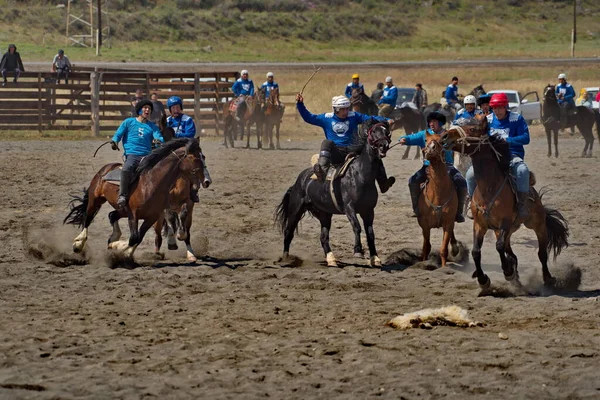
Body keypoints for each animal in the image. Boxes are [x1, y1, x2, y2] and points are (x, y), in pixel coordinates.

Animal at [63, 139, 206, 260]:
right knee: (87, 218)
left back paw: (114, 237)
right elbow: (133, 237)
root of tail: (106, 169)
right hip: (96, 200)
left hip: (122, 210)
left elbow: (138, 238)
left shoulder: (152, 217)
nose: (205, 180)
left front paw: (121, 249)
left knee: (112, 215)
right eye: (195, 157)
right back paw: (78, 244)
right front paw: (117, 247)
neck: (151, 183)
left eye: (203, 157)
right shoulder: (133, 214)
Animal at [274, 120, 392, 268]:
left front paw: (375, 258)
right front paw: (358, 251)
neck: (361, 175)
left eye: (387, 132)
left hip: (324, 214)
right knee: (288, 232)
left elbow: (370, 233)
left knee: (323, 237)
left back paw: (331, 259)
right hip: (295, 210)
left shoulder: (368, 211)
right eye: (374, 132)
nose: (384, 145)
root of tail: (300, 180)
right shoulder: (349, 208)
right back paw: (286, 258)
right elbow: (357, 227)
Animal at [418, 133, 460, 268]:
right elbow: (426, 247)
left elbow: (443, 249)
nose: (430, 149)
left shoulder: (448, 223)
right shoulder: (425, 225)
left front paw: (443, 267)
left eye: (441, 141)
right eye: (426, 139)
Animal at [440, 117, 568, 290]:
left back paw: (547, 278)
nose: (444, 136)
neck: (489, 188)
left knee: (541, 253)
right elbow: (476, 251)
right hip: (506, 230)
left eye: (472, 129)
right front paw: (483, 279)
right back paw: (516, 275)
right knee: (512, 253)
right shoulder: (480, 224)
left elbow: (498, 247)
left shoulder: (505, 223)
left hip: (537, 225)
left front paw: (507, 272)